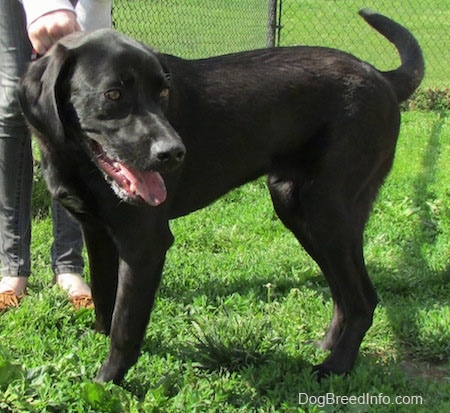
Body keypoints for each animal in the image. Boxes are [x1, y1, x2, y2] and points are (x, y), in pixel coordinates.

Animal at [19, 9, 424, 384]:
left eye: (163, 93)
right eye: (114, 94)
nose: (174, 153)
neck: (78, 160)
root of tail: (381, 76)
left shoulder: (145, 243)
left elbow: (126, 324)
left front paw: (107, 381)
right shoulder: (97, 232)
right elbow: (105, 299)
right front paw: (96, 343)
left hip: (324, 210)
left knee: (362, 299)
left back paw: (336, 366)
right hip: (298, 207)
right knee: (343, 292)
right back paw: (326, 346)